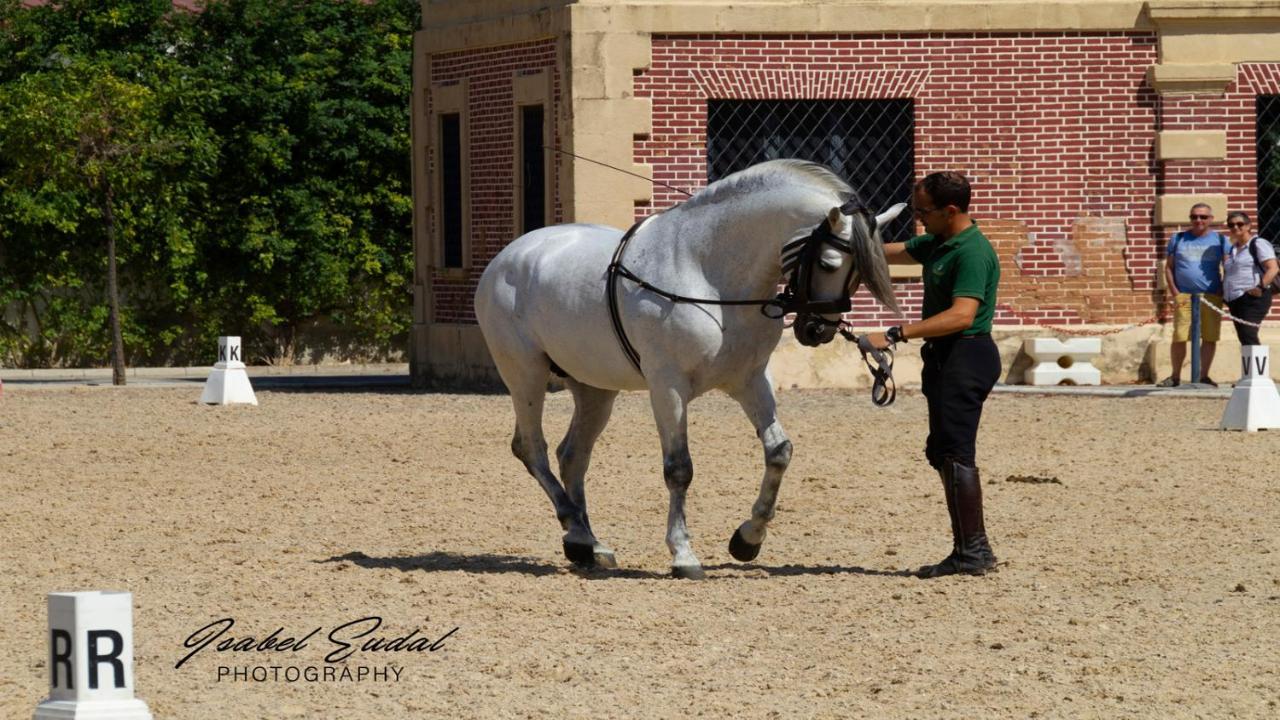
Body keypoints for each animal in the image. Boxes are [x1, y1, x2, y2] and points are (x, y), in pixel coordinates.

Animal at [476, 158, 906, 576]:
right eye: (829, 263)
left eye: (860, 272)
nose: (818, 330)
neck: (707, 272)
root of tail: (506, 258)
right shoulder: (668, 386)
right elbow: (679, 468)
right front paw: (683, 554)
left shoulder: (750, 380)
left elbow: (778, 451)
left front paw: (747, 539)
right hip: (525, 376)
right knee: (532, 448)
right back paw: (576, 531)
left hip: (594, 389)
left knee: (572, 456)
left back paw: (588, 544)